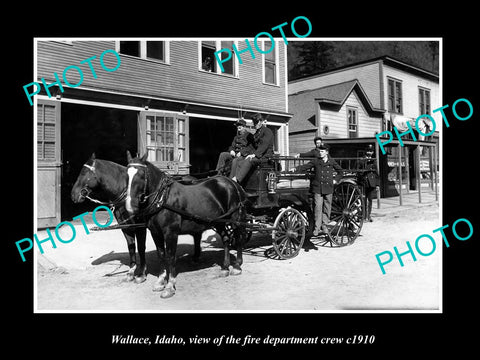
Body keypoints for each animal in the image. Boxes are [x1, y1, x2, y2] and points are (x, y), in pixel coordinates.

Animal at [70, 153, 147, 282]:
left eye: (84, 172)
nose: (73, 195)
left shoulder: (140, 226)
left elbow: (141, 247)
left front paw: (142, 273)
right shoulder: (126, 226)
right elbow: (131, 246)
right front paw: (131, 271)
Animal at [125, 151, 246, 298]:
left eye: (142, 175)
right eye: (127, 175)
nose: (130, 204)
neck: (163, 199)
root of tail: (232, 183)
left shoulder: (171, 233)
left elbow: (170, 257)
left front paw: (170, 286)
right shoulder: (155, 232)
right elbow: (161, 255)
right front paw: (160, 281)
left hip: (235, 220)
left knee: (239, 239)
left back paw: (237, 266)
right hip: (219, 222)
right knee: (226, 240)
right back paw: (225, 267)